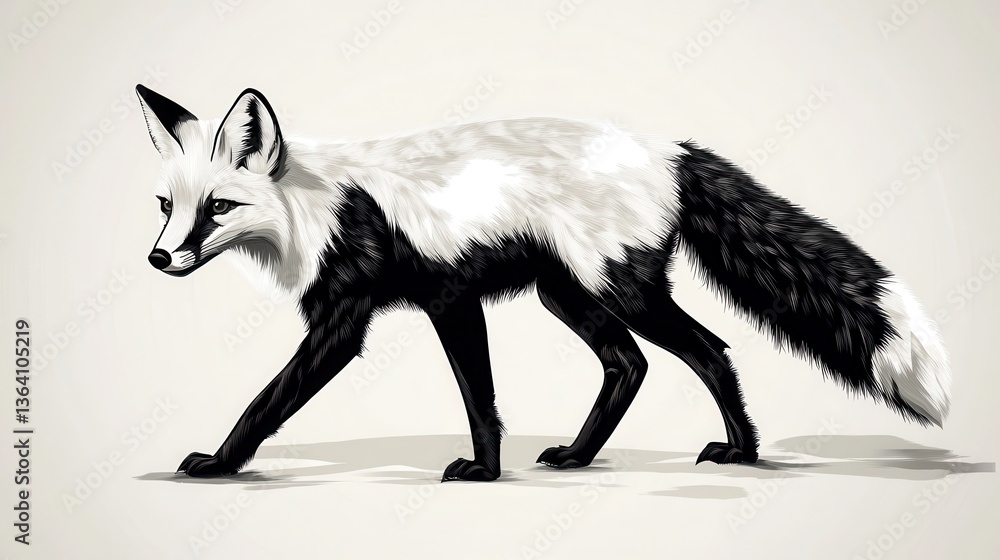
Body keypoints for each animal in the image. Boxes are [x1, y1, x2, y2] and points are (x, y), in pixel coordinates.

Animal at [137, 85, 951, 481]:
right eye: (167, 205)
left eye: (219, 208)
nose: (157, 260)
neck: (323, 207)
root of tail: (668, 148)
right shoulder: (430, 302)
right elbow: (481, 396)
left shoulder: (409, 306)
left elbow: (270, 401)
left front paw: (220, 464)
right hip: (567, 293)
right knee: (631, 364)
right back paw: (584, 456)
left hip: (619, 289)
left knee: (709, 351)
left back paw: (742, 454)